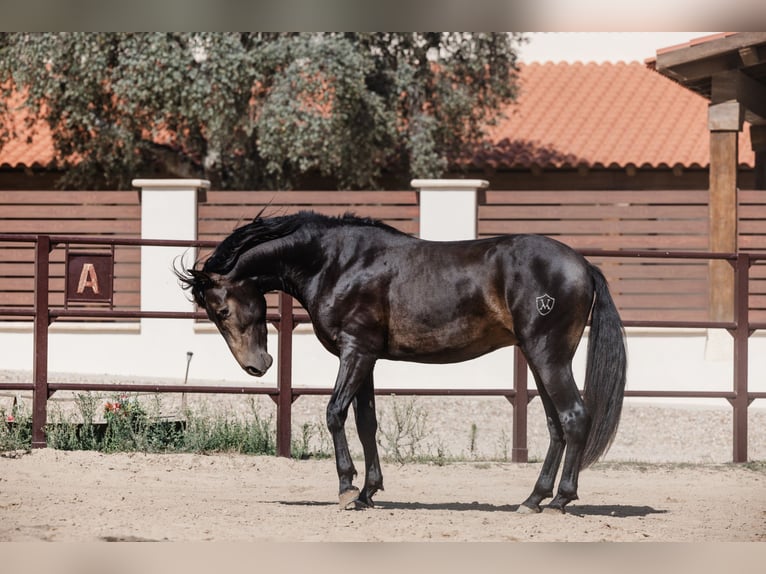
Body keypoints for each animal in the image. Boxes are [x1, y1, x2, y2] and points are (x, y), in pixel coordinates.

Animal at [180, 210, 632, 512]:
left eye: (220, 310)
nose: (258, 365)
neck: (336, 262)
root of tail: (583, 265)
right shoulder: (365, 358)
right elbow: (366, 422)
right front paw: (368, 492)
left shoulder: (356, 351)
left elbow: (334, 413)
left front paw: (347, 489)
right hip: (540, 359)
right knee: (557, 425)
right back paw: (533, 498)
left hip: (547, 355)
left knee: (573, 417)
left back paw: (560, 500)